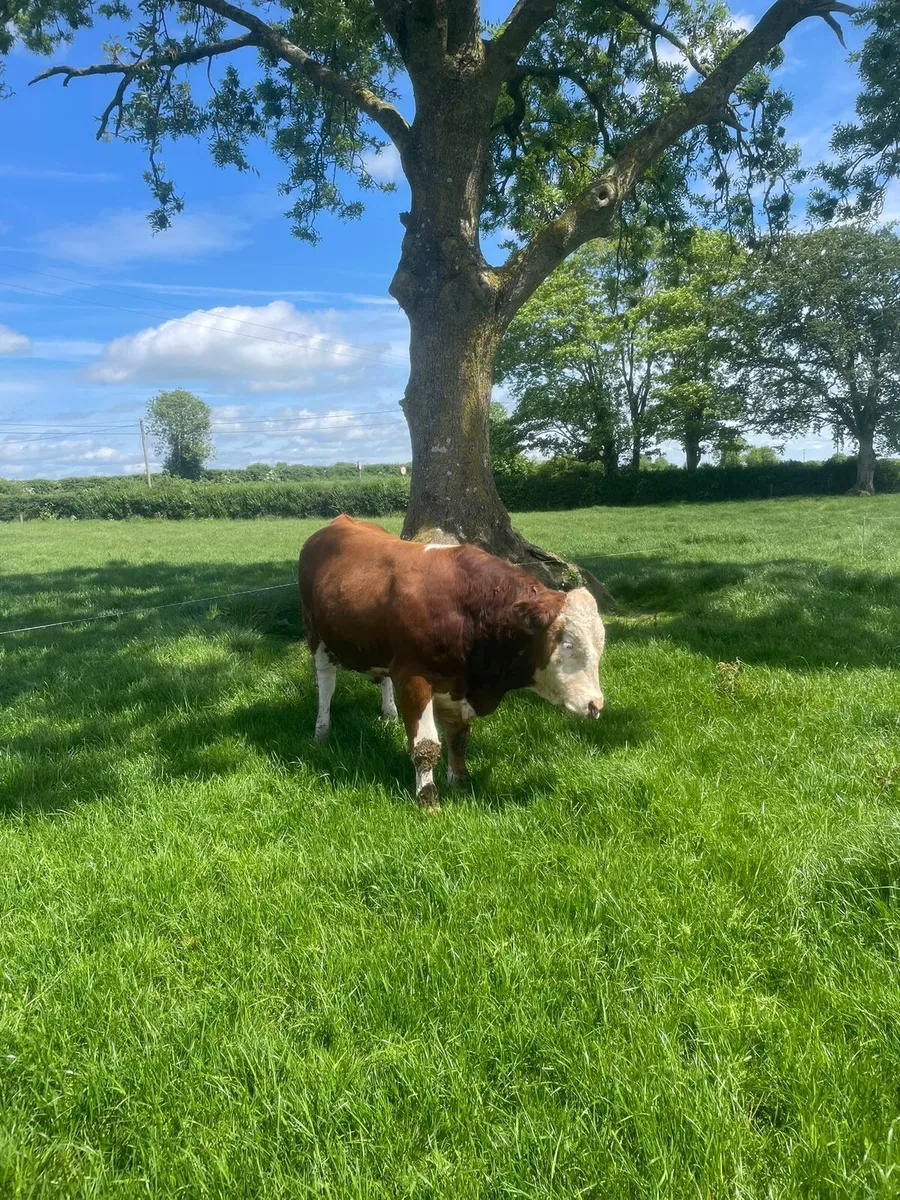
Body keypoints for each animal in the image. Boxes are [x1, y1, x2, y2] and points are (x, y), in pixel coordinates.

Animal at [298, 515, 606, 810]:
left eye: (600, 647)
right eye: (568, 645)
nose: (596, 705)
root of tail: (339, 522)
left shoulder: (457, 684)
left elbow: (458, 738)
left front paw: (459, 782)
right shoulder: (413, 678)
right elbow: (425, 746)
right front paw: (427, 799)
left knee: (381, 677)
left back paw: (388, 713)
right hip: (316, 633)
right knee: (326, 682)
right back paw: (321, 730)